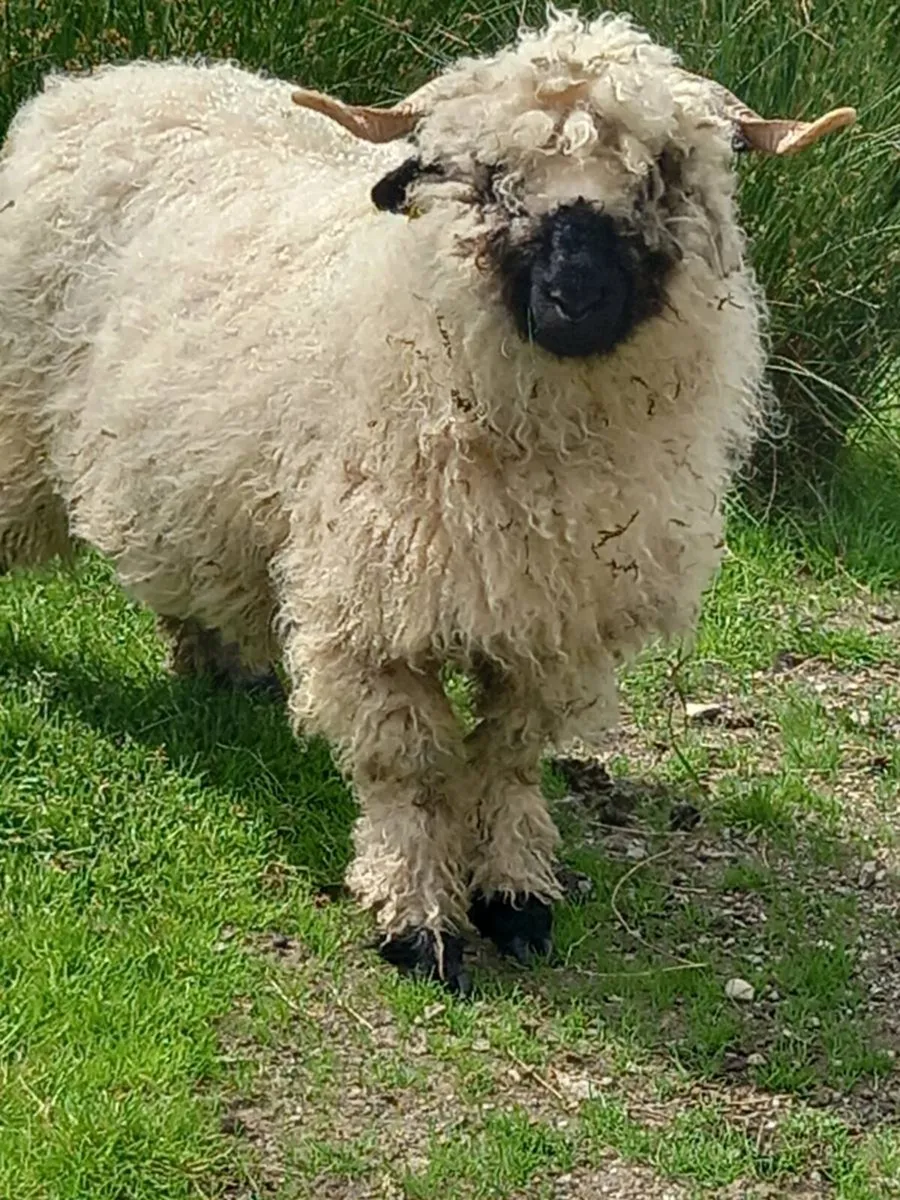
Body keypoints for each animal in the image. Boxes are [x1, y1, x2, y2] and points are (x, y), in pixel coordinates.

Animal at [0, 8, 854, 994]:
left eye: (664, 174)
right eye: (488, 175)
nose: (576, 295)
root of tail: (103, 82)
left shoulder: (557, 625)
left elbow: (509, 757)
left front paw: (517, 895)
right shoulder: (370, 615)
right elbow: (409, 770)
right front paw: (416, 919)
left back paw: (222, 666)